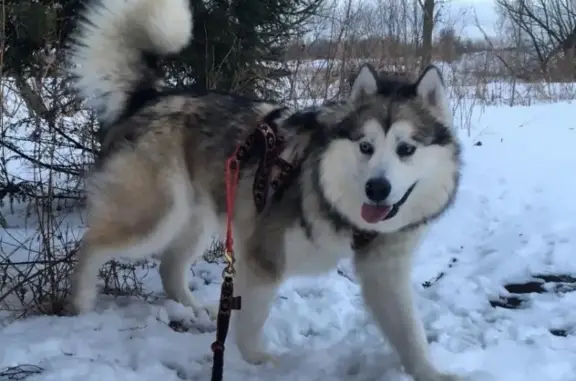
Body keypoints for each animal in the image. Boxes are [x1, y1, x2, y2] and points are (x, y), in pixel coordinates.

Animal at [67, 0, 462, 380]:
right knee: (91, 246)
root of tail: (151, 97)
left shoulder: (386, 271)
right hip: (157, 217)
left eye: (406, 149)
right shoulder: (262, 255)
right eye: (365, 146)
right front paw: (257, 359)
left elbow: (410, 333)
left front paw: (432, 373)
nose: (376, 188)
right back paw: (81, 305)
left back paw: (192, 309)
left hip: (199, 221)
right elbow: (250, 322)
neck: (339, 208)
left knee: (169, 267)